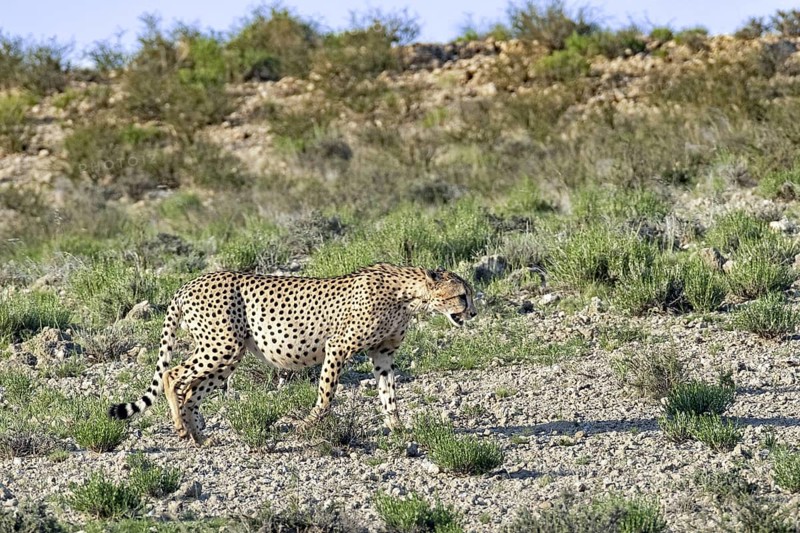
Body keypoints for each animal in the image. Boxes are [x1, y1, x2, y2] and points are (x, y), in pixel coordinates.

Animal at [108, 263, 477, 443]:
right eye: (461, 295)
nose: (473, 312)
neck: (408, 294)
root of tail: (191, 282)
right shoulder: (338, 346)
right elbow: (326, 396)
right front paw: (306, 426)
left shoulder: (382, 355)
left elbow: (389, 395)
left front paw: (398, 429)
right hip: (221, 346)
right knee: (173, 376)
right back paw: (182, 430)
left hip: (228, 355)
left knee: (192, 391)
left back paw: (200, 437)